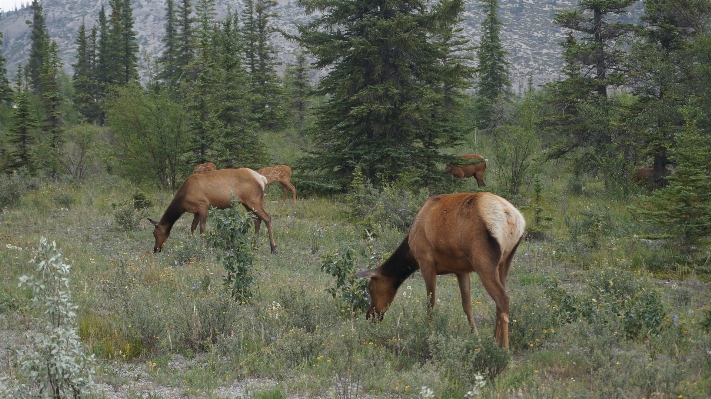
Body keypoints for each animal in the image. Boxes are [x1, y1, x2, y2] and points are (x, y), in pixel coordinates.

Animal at [358, 192, 524, 348]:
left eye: (370, 288)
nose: (369, 315)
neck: (411, 251)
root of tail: (512, 217)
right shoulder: (461, 269)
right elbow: (467, 306)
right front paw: (477, 338)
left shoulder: (425, 261)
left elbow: (430, 304)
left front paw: (430, 333)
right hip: (505, 261)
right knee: (498, 302)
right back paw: (494, 341)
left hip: (483, 261)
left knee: (503, 298)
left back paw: (504, 347)